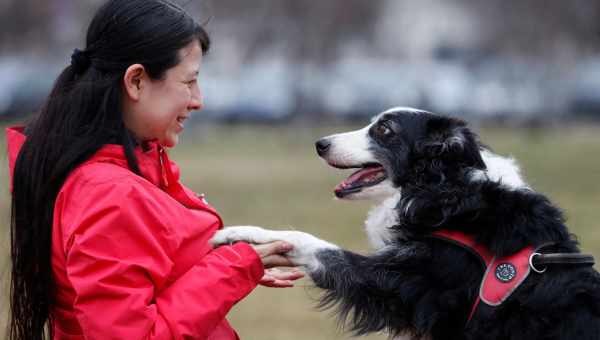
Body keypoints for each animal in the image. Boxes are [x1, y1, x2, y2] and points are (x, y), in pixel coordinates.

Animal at [212, 107, 600, 340]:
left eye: (384, 129)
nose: (320, 143)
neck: (445, 190)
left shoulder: (402, 281)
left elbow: (310, 242)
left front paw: (241, 234)